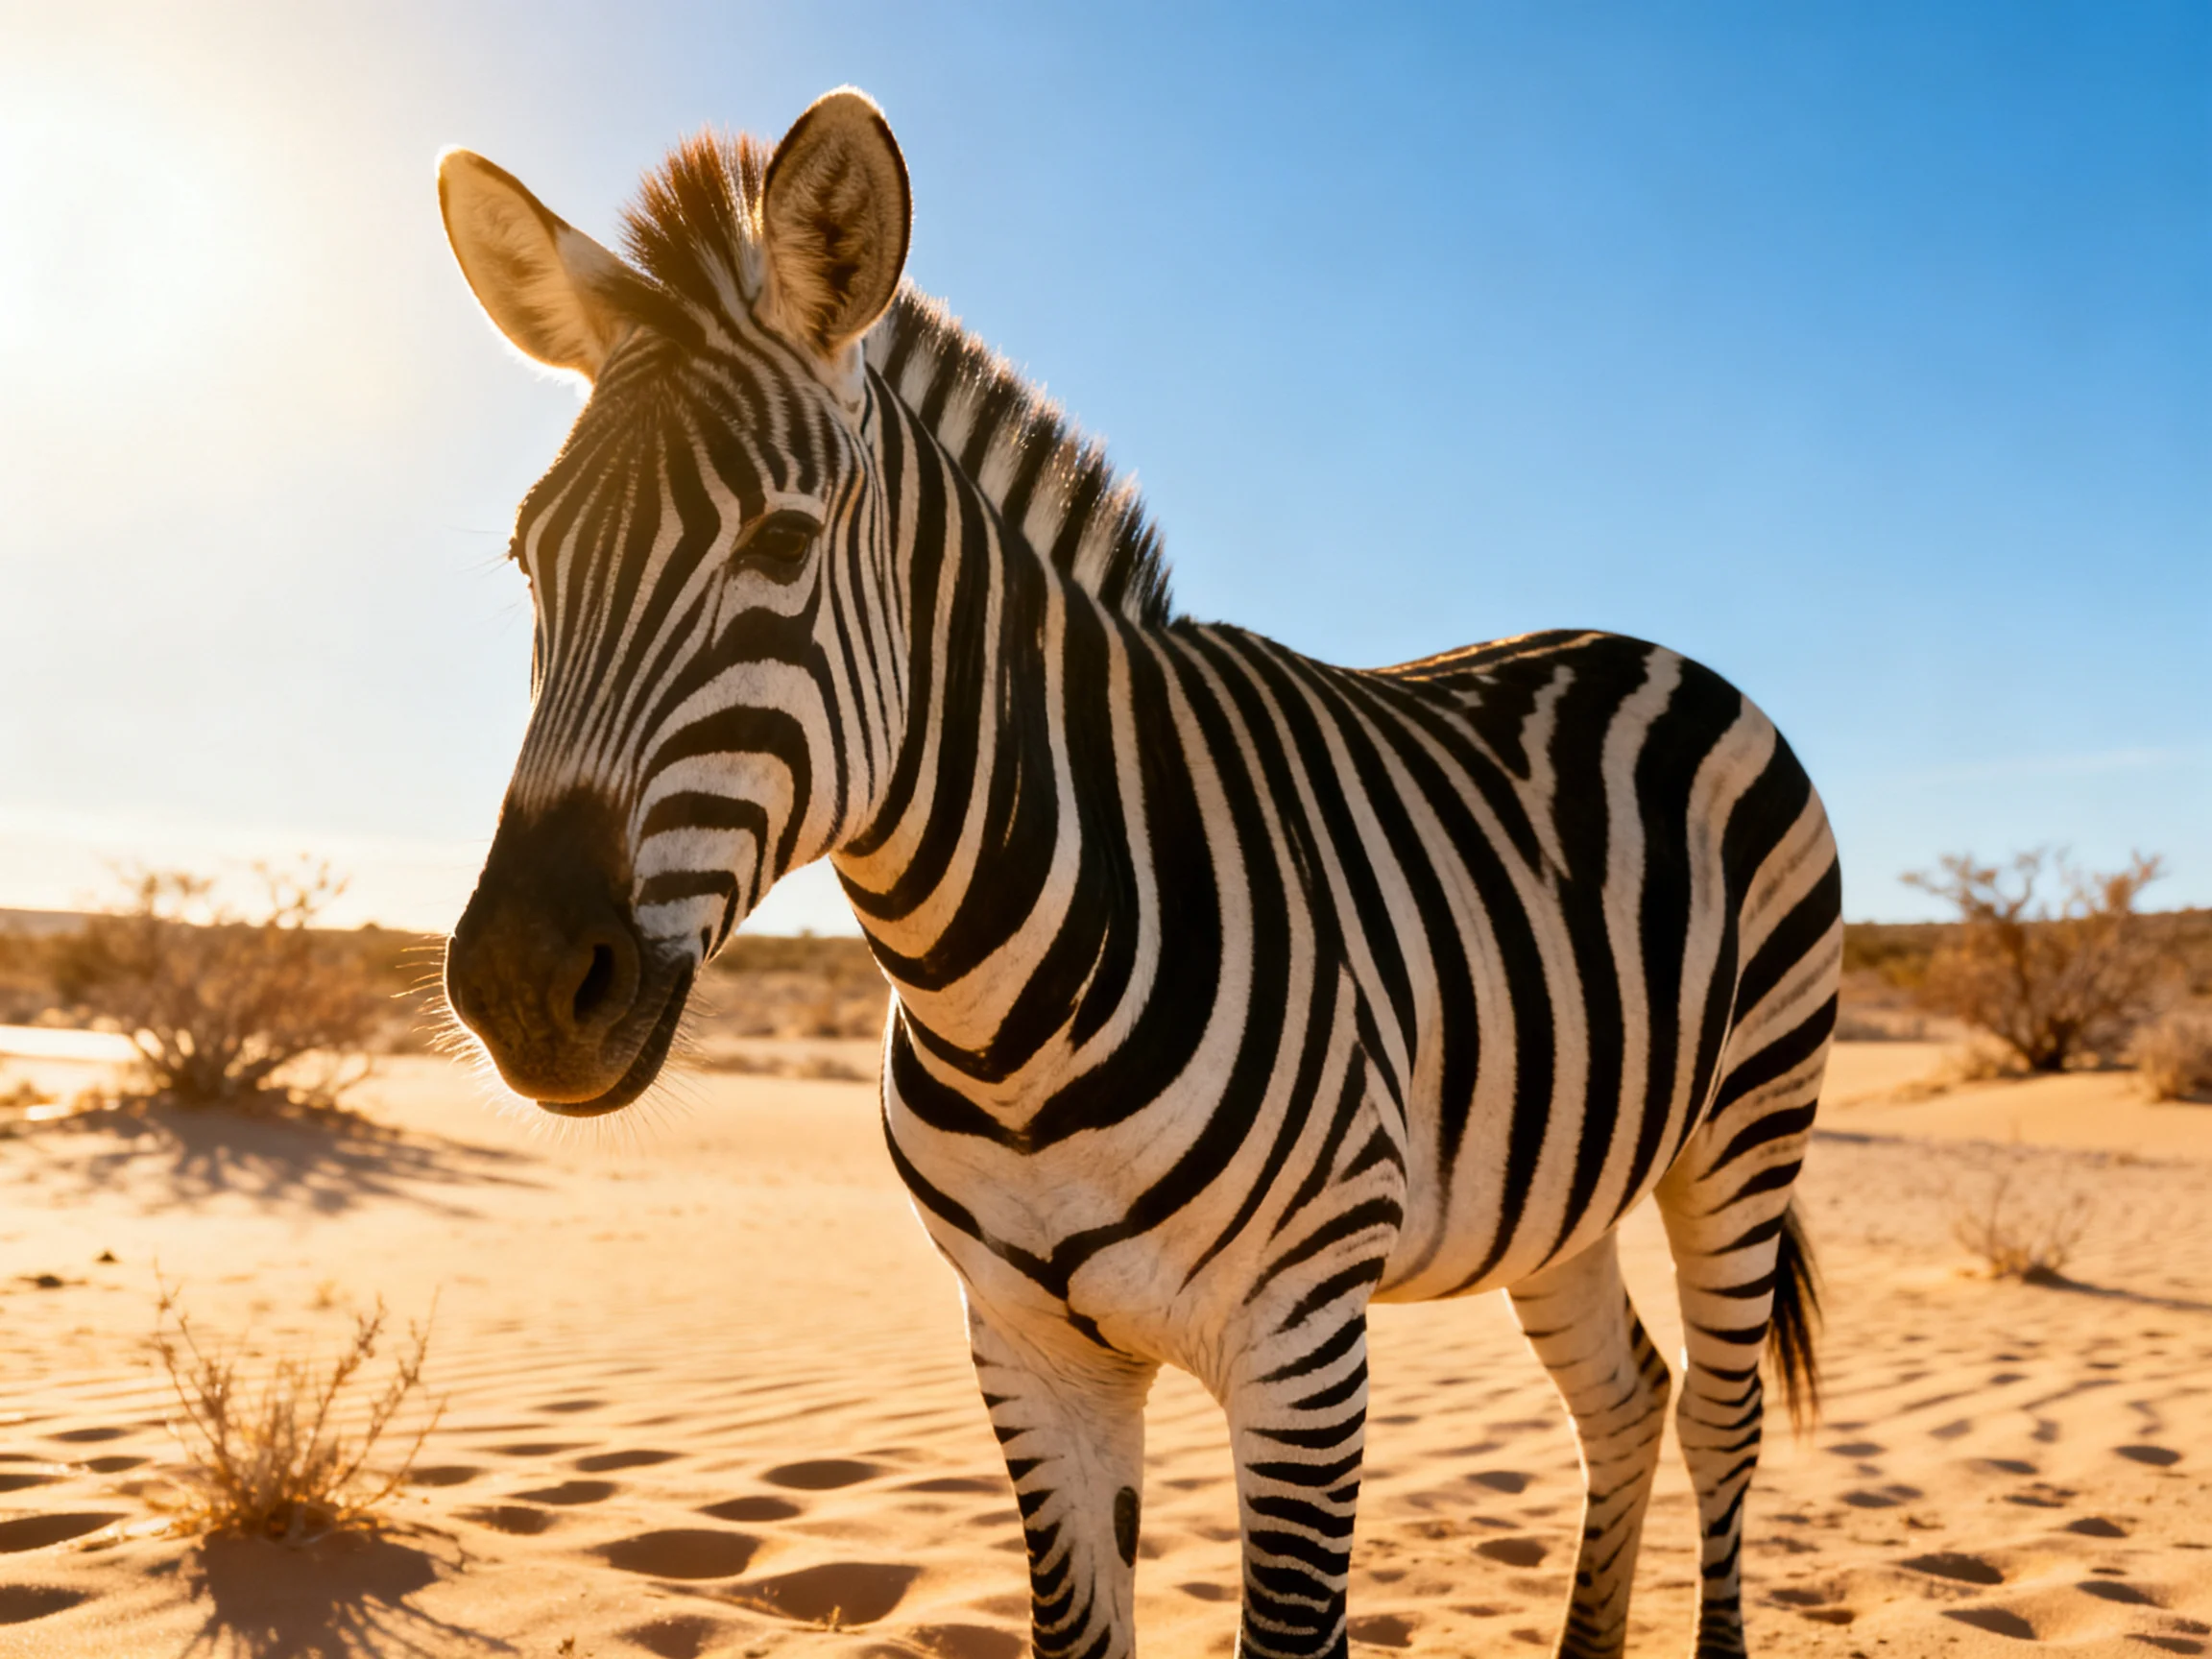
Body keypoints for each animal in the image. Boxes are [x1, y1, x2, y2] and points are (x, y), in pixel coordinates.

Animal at [438, 89, 1840, 1659]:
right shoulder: (1028, 1354)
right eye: (528, 564)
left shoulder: (1301, 1352)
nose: (520, 983)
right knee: (1626, 1400)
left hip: (1746, 1127)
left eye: (785, 541)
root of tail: (1646, 647)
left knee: (1721, 1425)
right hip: (1559, 1190)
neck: (1005, 1006)